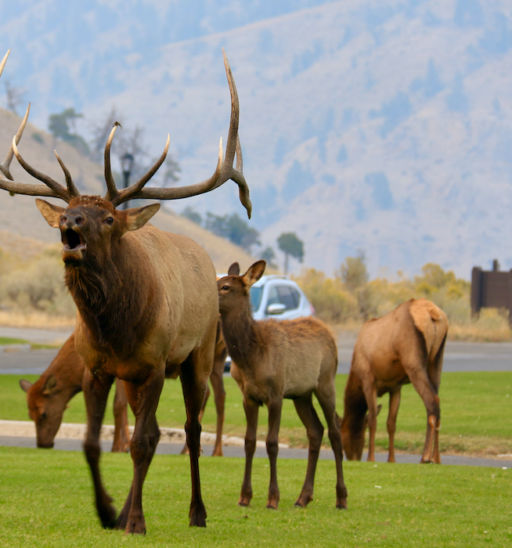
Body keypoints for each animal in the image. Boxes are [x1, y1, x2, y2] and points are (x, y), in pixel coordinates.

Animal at [0, 50, 252, 532]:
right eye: (68, 209)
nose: (70, 222)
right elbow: (93, 443)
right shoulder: (98, 370)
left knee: (190, 428)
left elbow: (144, 442)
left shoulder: (154, 364)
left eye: (108, 218)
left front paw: (134, 519)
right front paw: (107, 510)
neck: (115, 329)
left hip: (196, 355)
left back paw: (197, 511)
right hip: (140, 378)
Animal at [216, 262, 348, 510]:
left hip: (326, 382)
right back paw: (303, 497)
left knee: (335, 430)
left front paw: (272, 498)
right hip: (301, 395)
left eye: (226, 286)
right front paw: (245, 496)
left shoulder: (275, 393)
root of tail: (330, 334)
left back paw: (341, 497)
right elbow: (249, 442)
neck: (250, 357)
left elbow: (272, 443)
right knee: (316, 430)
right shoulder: (248, 396)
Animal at [340, 300, 448, 462]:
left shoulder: (368, 381)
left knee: (432, 401)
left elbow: (372, 420)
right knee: (438, 402)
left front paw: (371, 458)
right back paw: (437, 458)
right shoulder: (395, 387)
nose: (354, 458)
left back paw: (425, 457)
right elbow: (391, 423)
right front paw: (391, 459)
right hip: (436, 361)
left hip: (414, 363)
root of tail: (433, 314)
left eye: (340, 435)